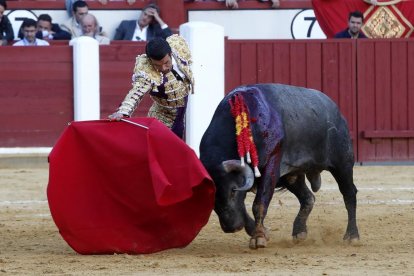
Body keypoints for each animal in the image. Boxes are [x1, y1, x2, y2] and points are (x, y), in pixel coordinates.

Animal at [200, 83, 360, 249]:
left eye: (232, 190)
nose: (232, 227)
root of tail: (336, 111)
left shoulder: (271, 167)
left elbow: (259, 203)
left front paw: (258, 237)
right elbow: (243, 206)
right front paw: (260, 232)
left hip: (342, 163)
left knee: (349, 193)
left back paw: (352, 236)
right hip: (291, 175)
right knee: (308, 197)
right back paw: (299, 231)